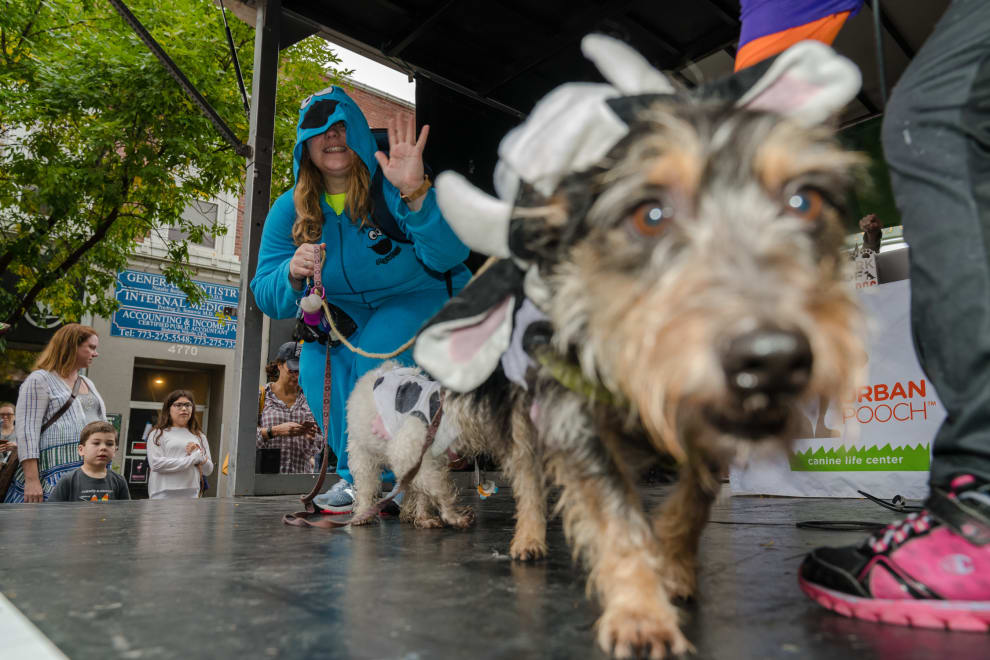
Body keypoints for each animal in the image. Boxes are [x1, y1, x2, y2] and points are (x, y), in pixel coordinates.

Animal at [346, 364, 552, 560]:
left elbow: (426, 490)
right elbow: (438, 488)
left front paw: (424, 517)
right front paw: (455, 516)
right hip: (362, 450)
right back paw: (363, 513)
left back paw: (408, 513)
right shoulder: (410, 450)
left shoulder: (429, 458)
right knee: (366, 483)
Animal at [426, 37, 868, 660]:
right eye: (650, 214)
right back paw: (530, 538)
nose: (773, 358)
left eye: (803, 201)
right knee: (529, 478)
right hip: (523, 419)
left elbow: (694, 500)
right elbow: (615, 514)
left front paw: (674, 569)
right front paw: (639, 611)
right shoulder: (573, 414)